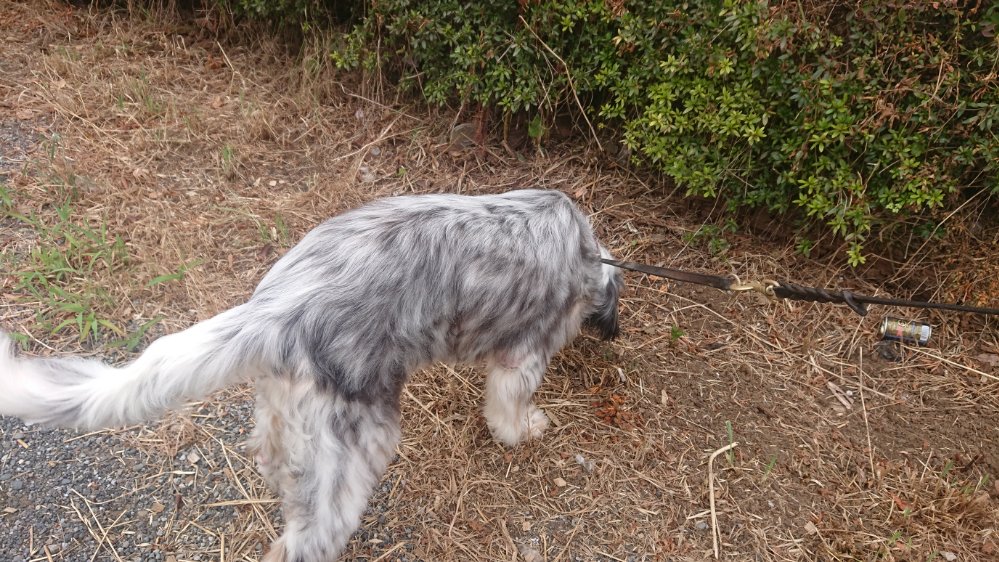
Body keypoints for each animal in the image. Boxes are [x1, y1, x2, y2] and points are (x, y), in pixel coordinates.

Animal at [0, 189, 622, 561]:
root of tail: (275, 309)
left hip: (292, 423)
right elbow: (508, 412)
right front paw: (527, 429)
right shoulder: (522, 358)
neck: (587, 255)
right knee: (302, 542)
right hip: (351, 454)